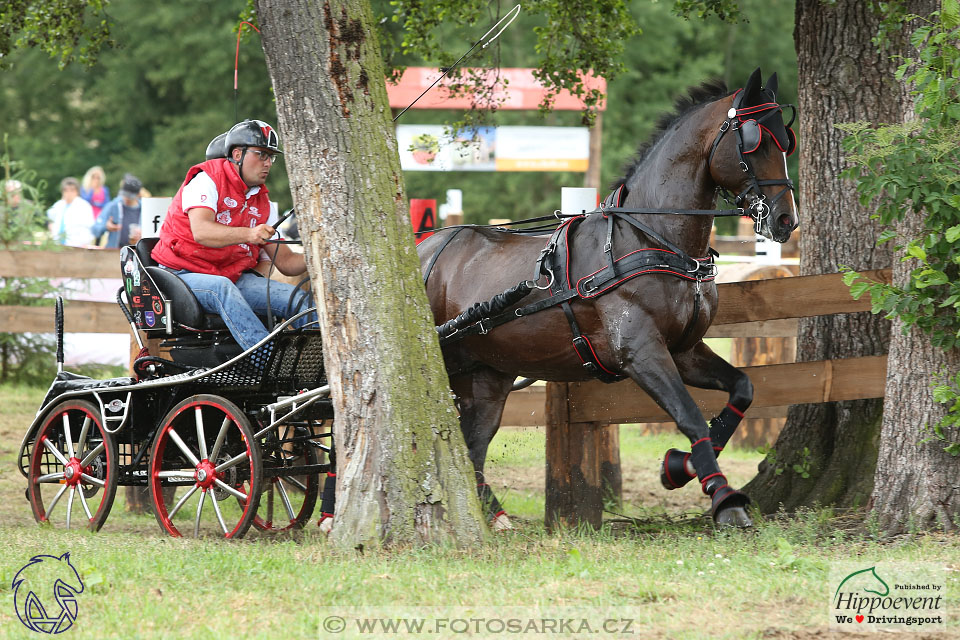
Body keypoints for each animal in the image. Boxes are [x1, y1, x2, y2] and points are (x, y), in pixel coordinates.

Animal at [416, 69, 800, 528]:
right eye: (755, 139)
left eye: (787, 140)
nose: (786, 219)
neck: (654, 239)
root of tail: (422, 248)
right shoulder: (641, 352)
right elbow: (690, 415)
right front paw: (724, 498)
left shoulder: (684, 351)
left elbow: (742, 389)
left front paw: (680, 467)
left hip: (488, 375)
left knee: (473, 448)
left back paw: (496, 518)